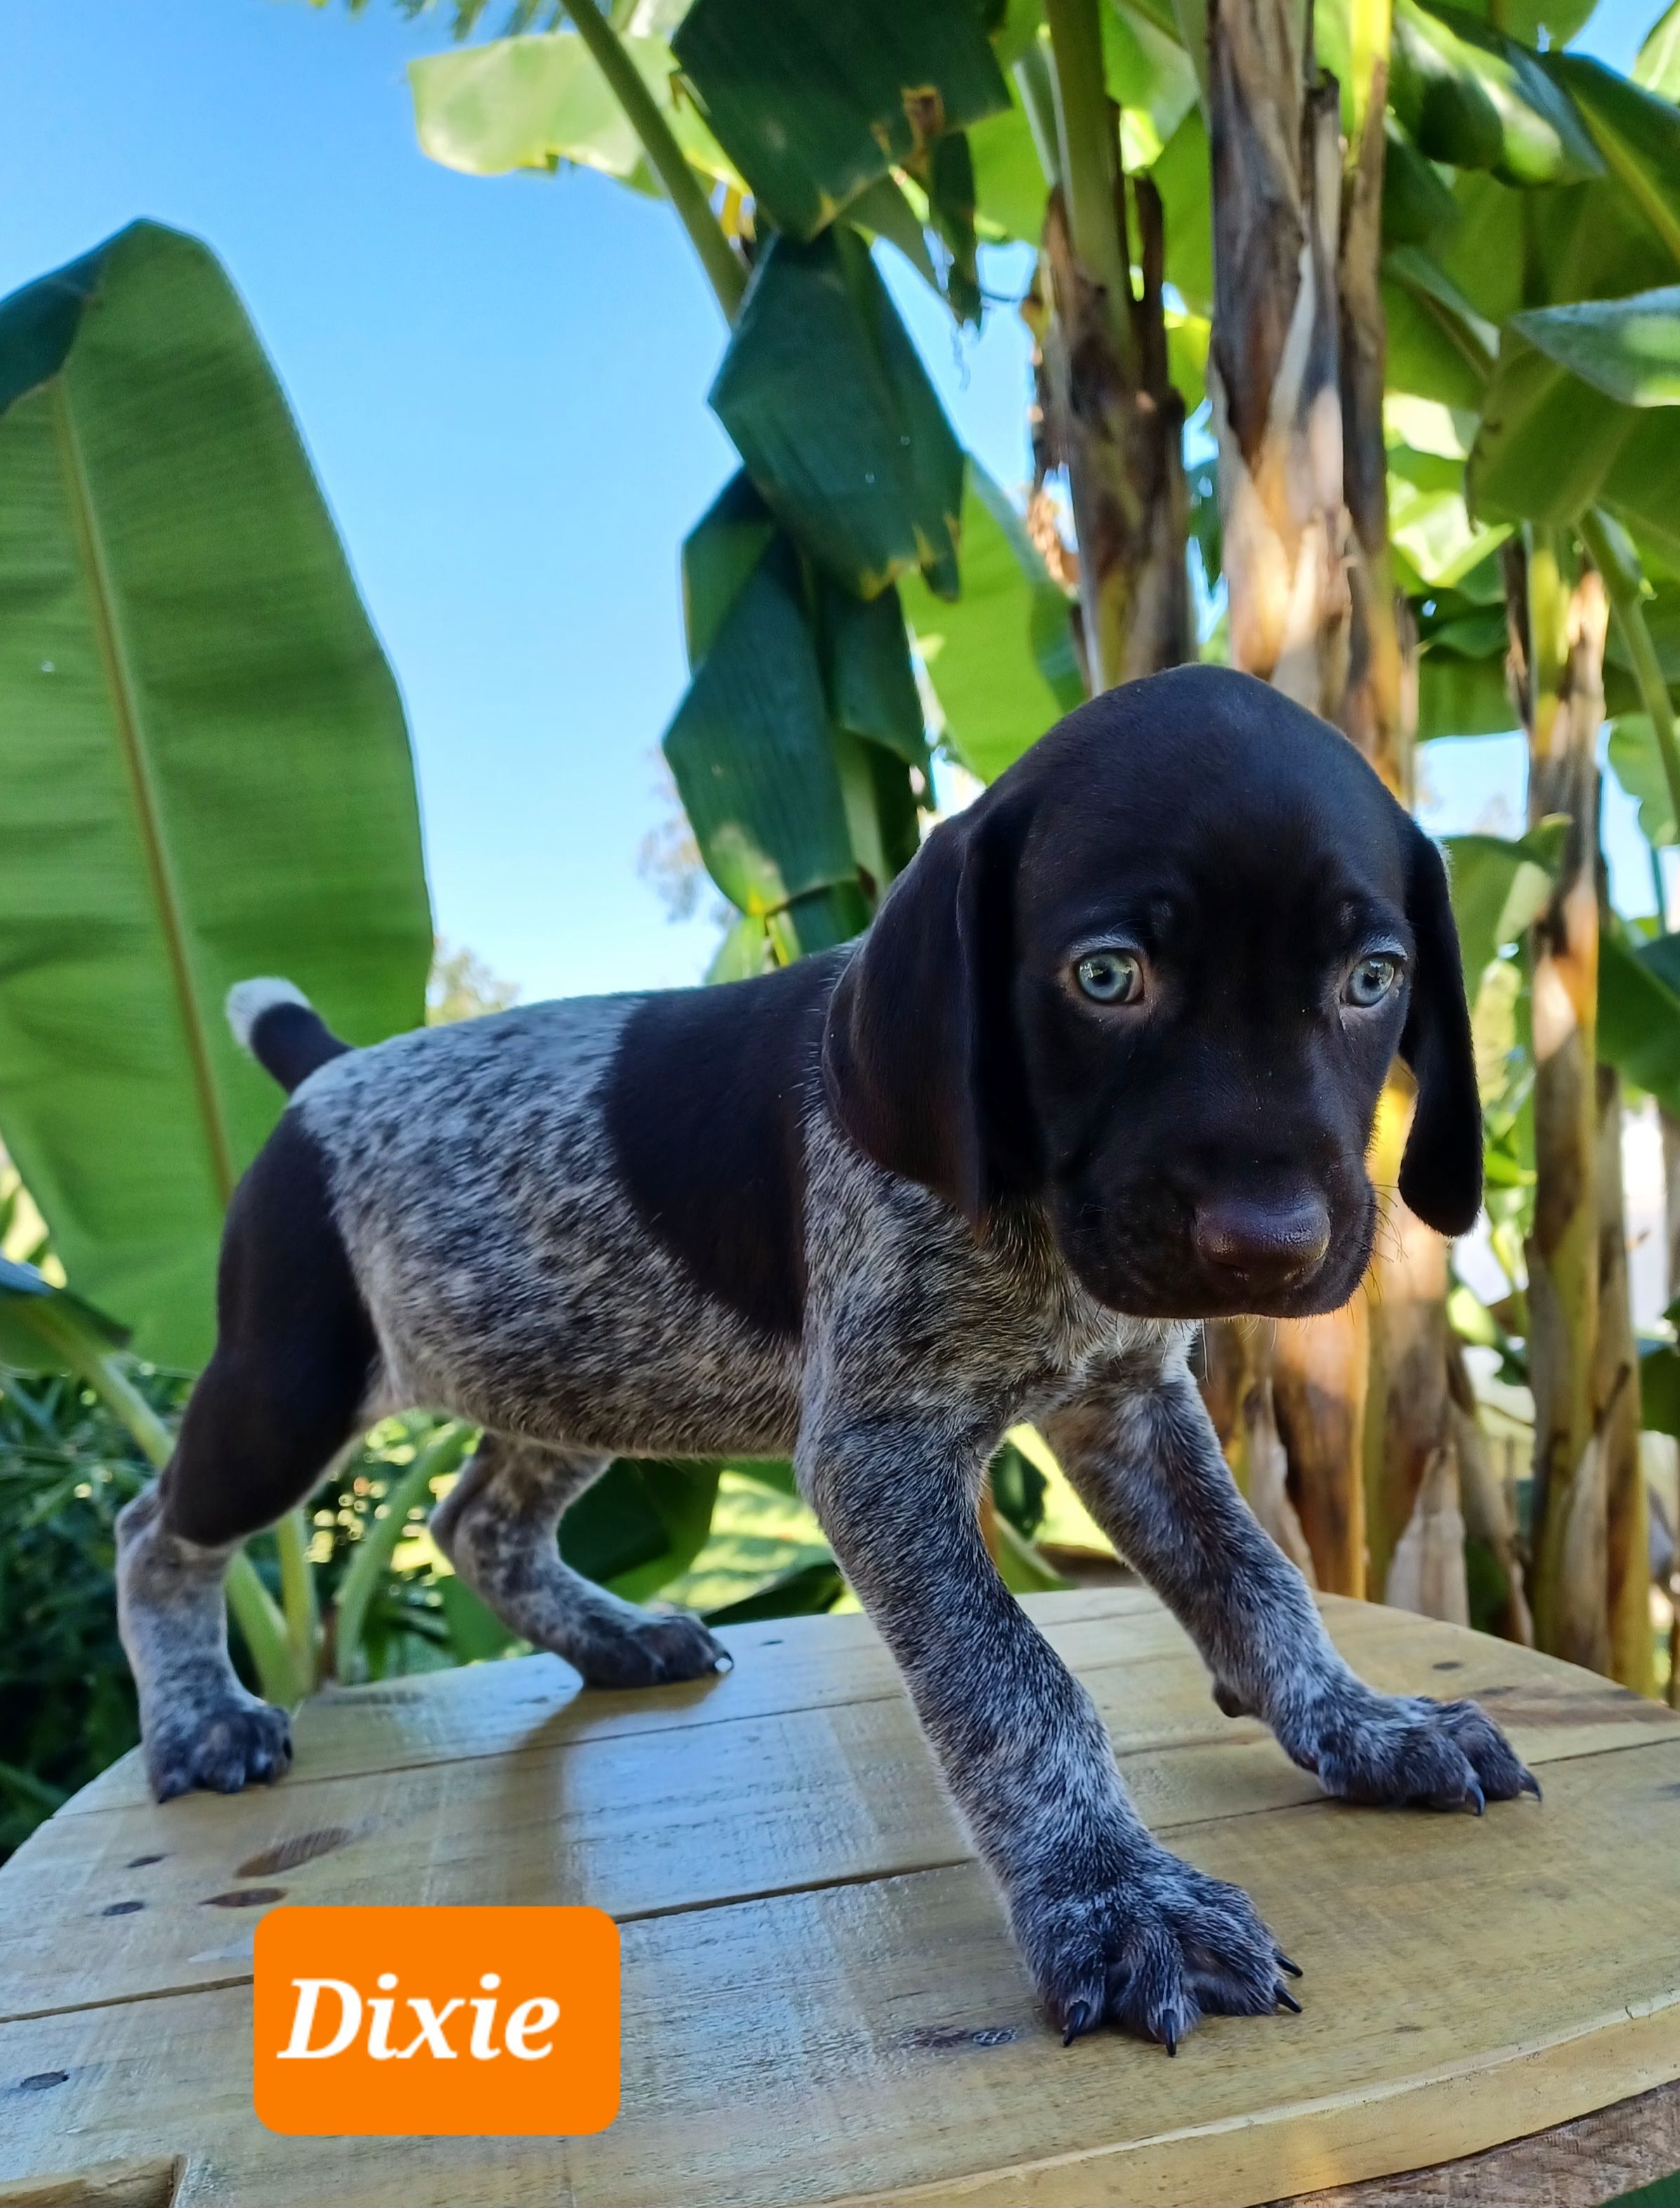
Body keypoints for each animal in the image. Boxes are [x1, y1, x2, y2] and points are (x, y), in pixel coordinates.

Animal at [116, 664, 1534, 2052]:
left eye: (1371, 980)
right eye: (1107, 976)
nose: (1269, 1245)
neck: (1028, 1214)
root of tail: (331, 1072)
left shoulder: (1128, 1402)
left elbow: (1255, 1576)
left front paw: (1358, 1721)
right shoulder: (877, 1448)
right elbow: (1014, 1678)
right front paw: (1112, 1894)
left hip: (571, 1367)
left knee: (478, 1521)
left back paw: (610, 1638)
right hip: (291, 1384)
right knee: (153, 1528)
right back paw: (199, 1717)